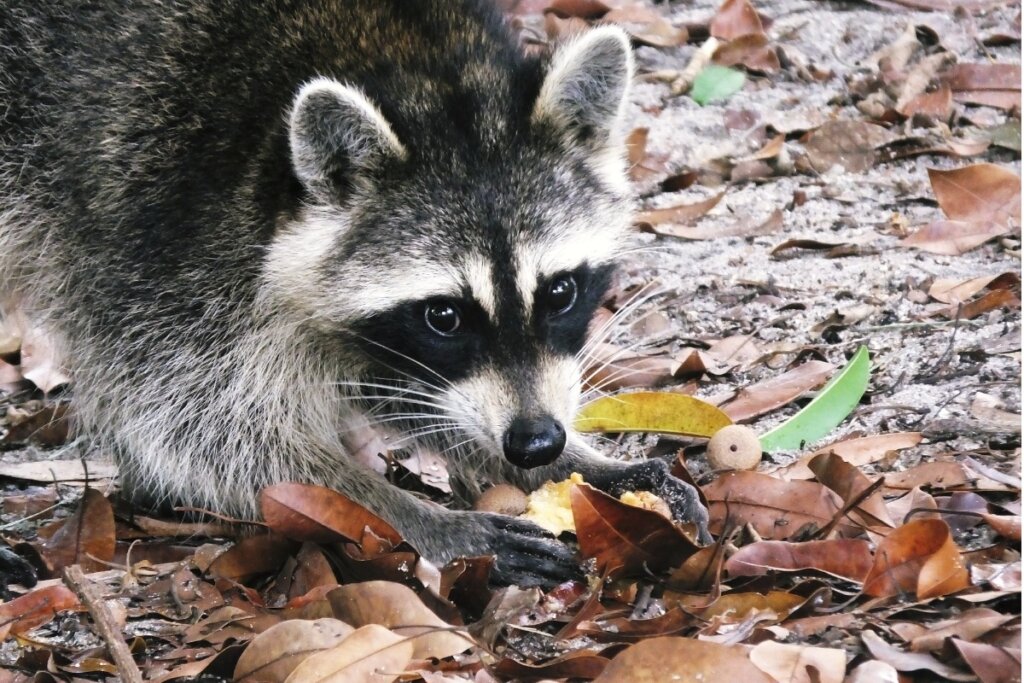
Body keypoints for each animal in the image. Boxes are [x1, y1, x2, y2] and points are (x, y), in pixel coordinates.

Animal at [0, 1, 708, 589]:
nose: (536, 442)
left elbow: (394, 380)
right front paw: (416, 516)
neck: (405, 55)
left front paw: (585, 466)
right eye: (444, 316)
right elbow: (194, 428)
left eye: (560, 291)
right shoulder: (162, 235)